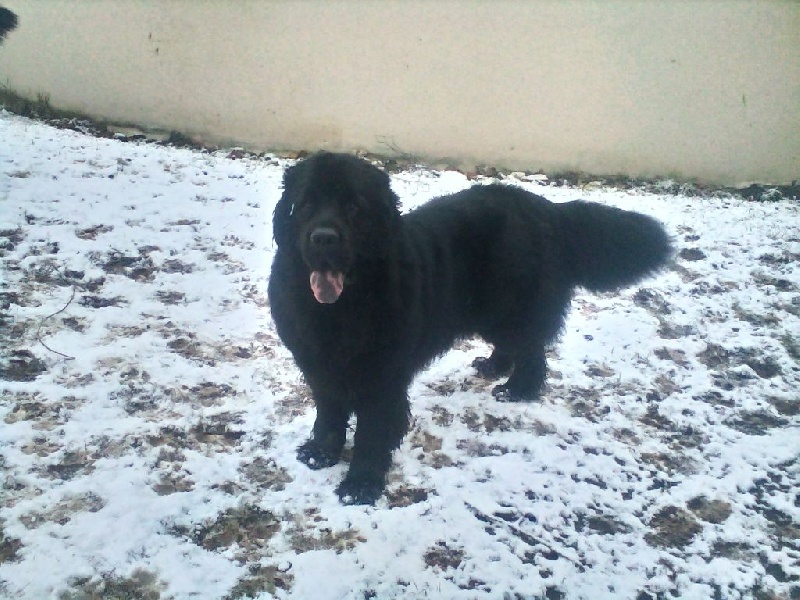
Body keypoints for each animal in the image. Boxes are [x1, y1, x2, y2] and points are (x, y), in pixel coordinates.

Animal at [270, 152, 676, 504]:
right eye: (304, 205)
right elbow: (329, 414)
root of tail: (546, 208)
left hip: (510, 307)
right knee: (515, 346)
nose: (323, 238)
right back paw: (494, 367)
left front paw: (360, 485)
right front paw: (320, 454)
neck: (341, 307)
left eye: (354, 207)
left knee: (532, 351)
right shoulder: (318, 366)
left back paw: (517, 389)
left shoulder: (382, 379)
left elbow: (372, 432)